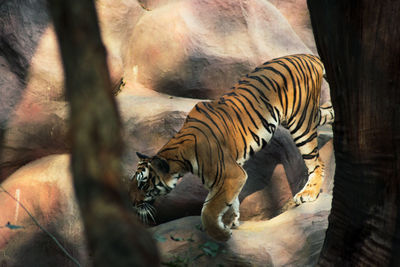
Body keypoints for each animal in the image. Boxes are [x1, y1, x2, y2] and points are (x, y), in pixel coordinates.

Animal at [129, 54, 334, 243]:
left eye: (143, 184)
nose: (132, 203)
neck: (180, 157)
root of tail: (309, 56)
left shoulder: (231, 175)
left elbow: (208, 210)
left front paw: (221, 234)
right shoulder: (231, 175)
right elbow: (229, 202)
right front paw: (230, 221)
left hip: (301, 123)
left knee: (317, 162)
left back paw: (308, 193)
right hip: (310, 115)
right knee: (328, 110)